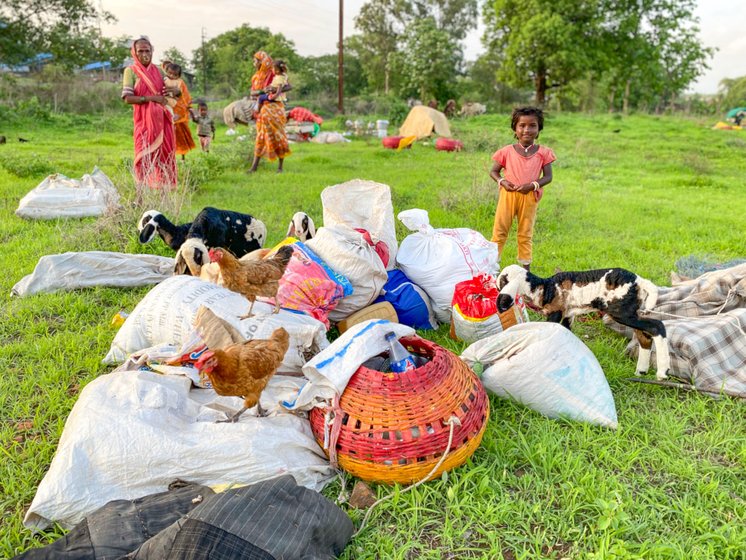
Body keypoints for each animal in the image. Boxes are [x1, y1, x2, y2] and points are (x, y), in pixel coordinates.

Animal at [494, 264, 668, 378]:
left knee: (657, 326)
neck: (545, 288)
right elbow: (567, 336)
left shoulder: (555, 313)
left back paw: (662, 371)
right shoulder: (568, 315)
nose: (496, 290)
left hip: (621, 312)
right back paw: (641, 371)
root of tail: (639, 280)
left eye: (502, 281)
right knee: (645, 336)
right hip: (632, 311)